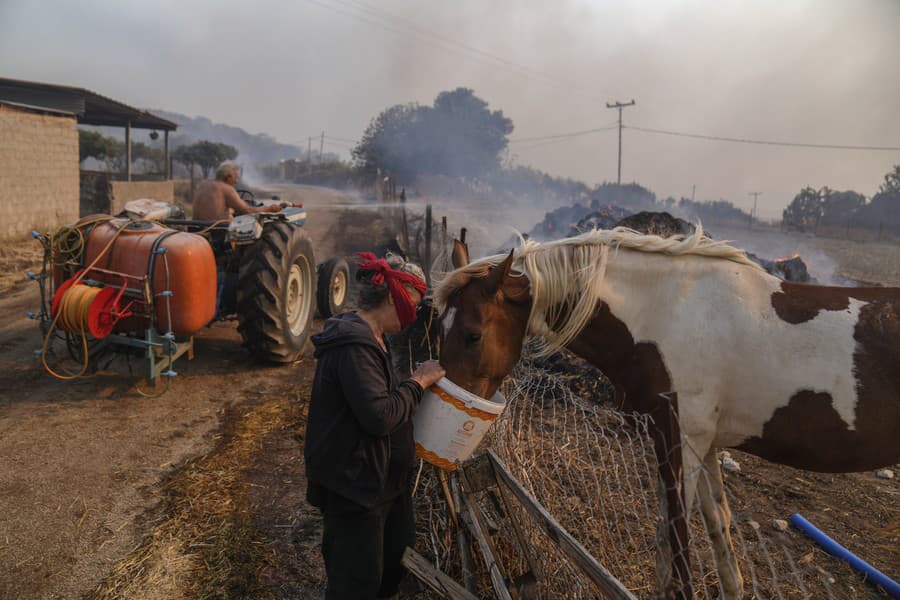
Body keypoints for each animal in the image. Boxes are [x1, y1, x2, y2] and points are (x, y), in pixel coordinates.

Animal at [436, 226, 900, 600]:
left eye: (472, 335)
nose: (447, 402)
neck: (668, 312)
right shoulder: (704, 445)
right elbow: (716, 537)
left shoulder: (681, 440)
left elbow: (675, 552)